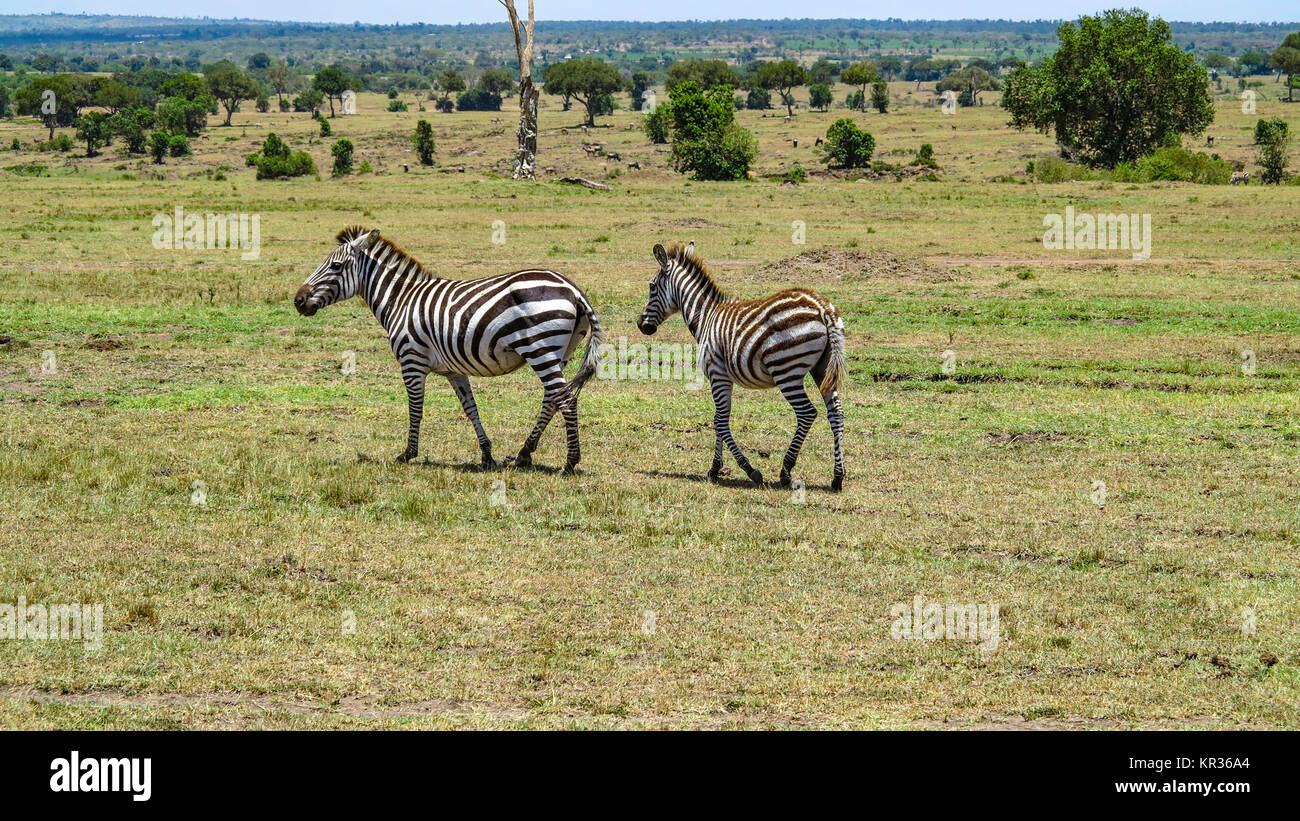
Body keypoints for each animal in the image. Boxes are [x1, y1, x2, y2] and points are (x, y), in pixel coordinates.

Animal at [295, 227, 602, 472]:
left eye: (335, 266)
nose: (298, 300)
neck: (400, 301)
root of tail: (573, 289)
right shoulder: (454, 370)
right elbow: (471, 408)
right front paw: (486, 455)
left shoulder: (412, 361)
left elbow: (415, 409)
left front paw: (408, 453)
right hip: (559, 353)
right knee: (552, 399)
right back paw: (524, 454)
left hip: (541, 348)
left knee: (565, 399)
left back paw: (570, 463)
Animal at [637, 243, 846, 491]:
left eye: (651, 286)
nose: (641, 325)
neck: (705, 316)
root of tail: (821, 307)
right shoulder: (722, 378)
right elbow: (719, 418)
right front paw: (716, 469)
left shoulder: (717, 374)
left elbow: (719, 420)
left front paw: (746, 469)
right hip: (822, 368)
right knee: (836, 413)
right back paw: (837, 476)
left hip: (786, 371)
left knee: (807, 413)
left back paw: (786, 471)